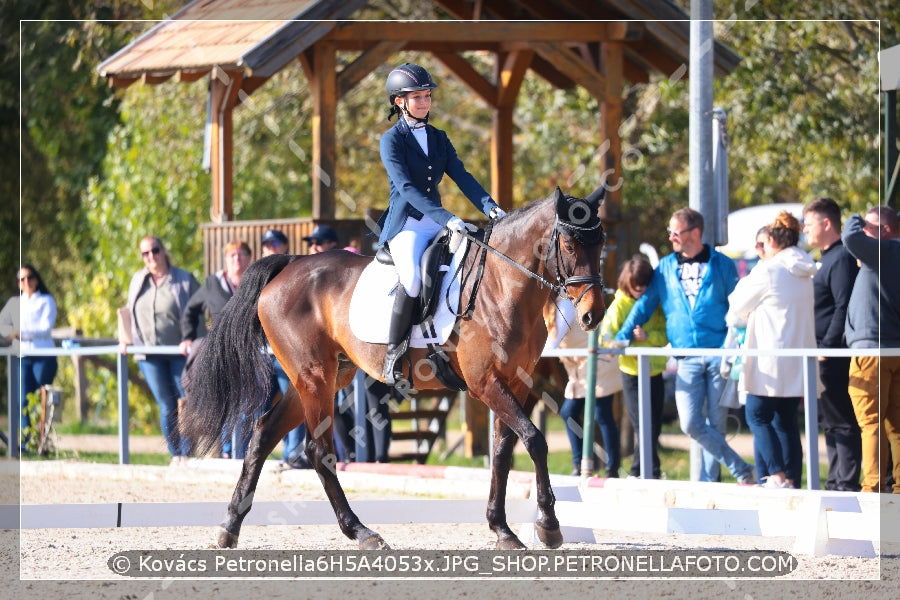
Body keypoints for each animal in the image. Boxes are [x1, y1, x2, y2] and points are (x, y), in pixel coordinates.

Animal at [181, 185, 604, 552]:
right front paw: (548, 525)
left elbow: (503, 452)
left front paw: (503, 529)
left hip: (323, 377)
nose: (592, 315)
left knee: (263, 434)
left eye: (600, 244)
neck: (502, 285)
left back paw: (229, 527)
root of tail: (290, 265)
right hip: (314, 378)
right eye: (569, 244)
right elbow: (534, 439)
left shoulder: (516, 383)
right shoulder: (486, 382)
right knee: (319, 451)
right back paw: (361, 532)